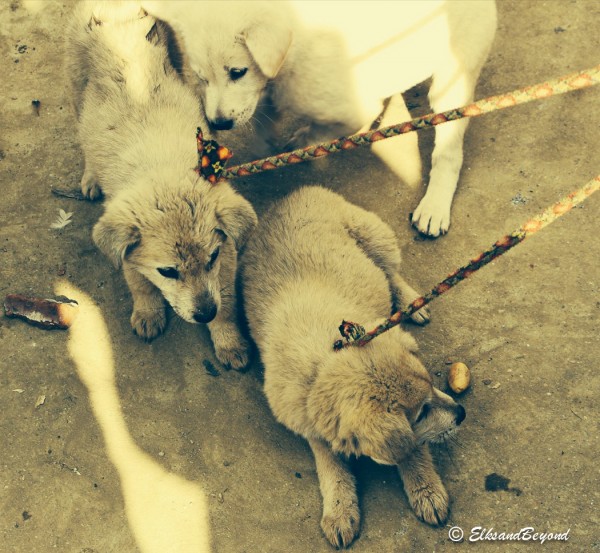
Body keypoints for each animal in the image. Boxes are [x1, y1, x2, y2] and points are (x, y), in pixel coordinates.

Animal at [66, 1, 258, 370]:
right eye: (168, 271)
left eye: (211, 258)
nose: (204, 313)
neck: (163, 168)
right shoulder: (128, 252)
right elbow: (141, 285)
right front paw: (148, 314)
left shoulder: (226, 257)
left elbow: (226, 305)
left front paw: (228, 340)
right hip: (80, 91)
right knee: (83, 134)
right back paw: (91, 176)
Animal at [142, 0, 496, 237]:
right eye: (201, 78)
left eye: (238, 72)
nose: (217, 124)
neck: (292, 54)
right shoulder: (269, 93)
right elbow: (264, 123)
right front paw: (268, 145)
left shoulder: (351, 109)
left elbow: (317, 134)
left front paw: (300, 145)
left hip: (454, 77)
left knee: (449, 150)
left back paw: (434, 207)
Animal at [241, 187, 466, 548]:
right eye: (421, 413)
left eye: (432, 382)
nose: (462, 413)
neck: (327, 356)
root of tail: (293, 194)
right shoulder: (310, 423)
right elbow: (330, 465)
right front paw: (339, 509)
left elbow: (410, 448)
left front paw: (426, 490)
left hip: (375, 236)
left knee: (389, 271)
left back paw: (412, 303)